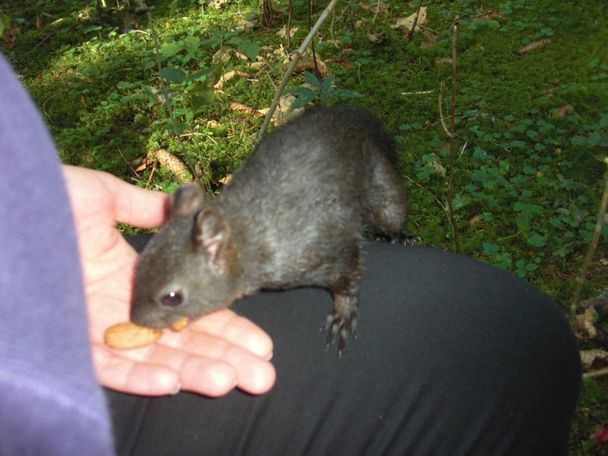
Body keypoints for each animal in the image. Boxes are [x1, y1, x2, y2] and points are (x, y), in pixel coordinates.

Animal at [132, 105, 408, 354]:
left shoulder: (327, 244)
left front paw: (344, 313)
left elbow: (350, 274)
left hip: (381, 189)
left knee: (391, 211)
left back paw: (400, 236)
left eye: (172, 297)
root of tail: (349, 120)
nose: (136, 320)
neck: (246, 238)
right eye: (139, 268)